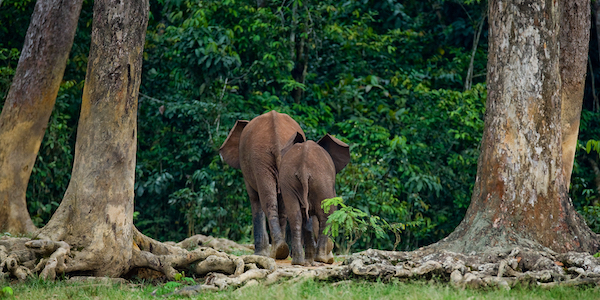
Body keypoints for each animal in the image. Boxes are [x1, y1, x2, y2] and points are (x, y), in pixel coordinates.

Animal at [220, 110, 304, 258]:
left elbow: (254, 198)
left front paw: (259, 254)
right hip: (273, 157)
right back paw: (280, 250)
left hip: (260, 158)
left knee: (266, 202)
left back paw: (277, 250)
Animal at [278, 132, 350, 264]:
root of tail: (303, 167)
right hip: (321, 181)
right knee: (326, 216)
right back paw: (322, 259)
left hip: (288, 180)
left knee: (295, 216)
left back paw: (298, 262)